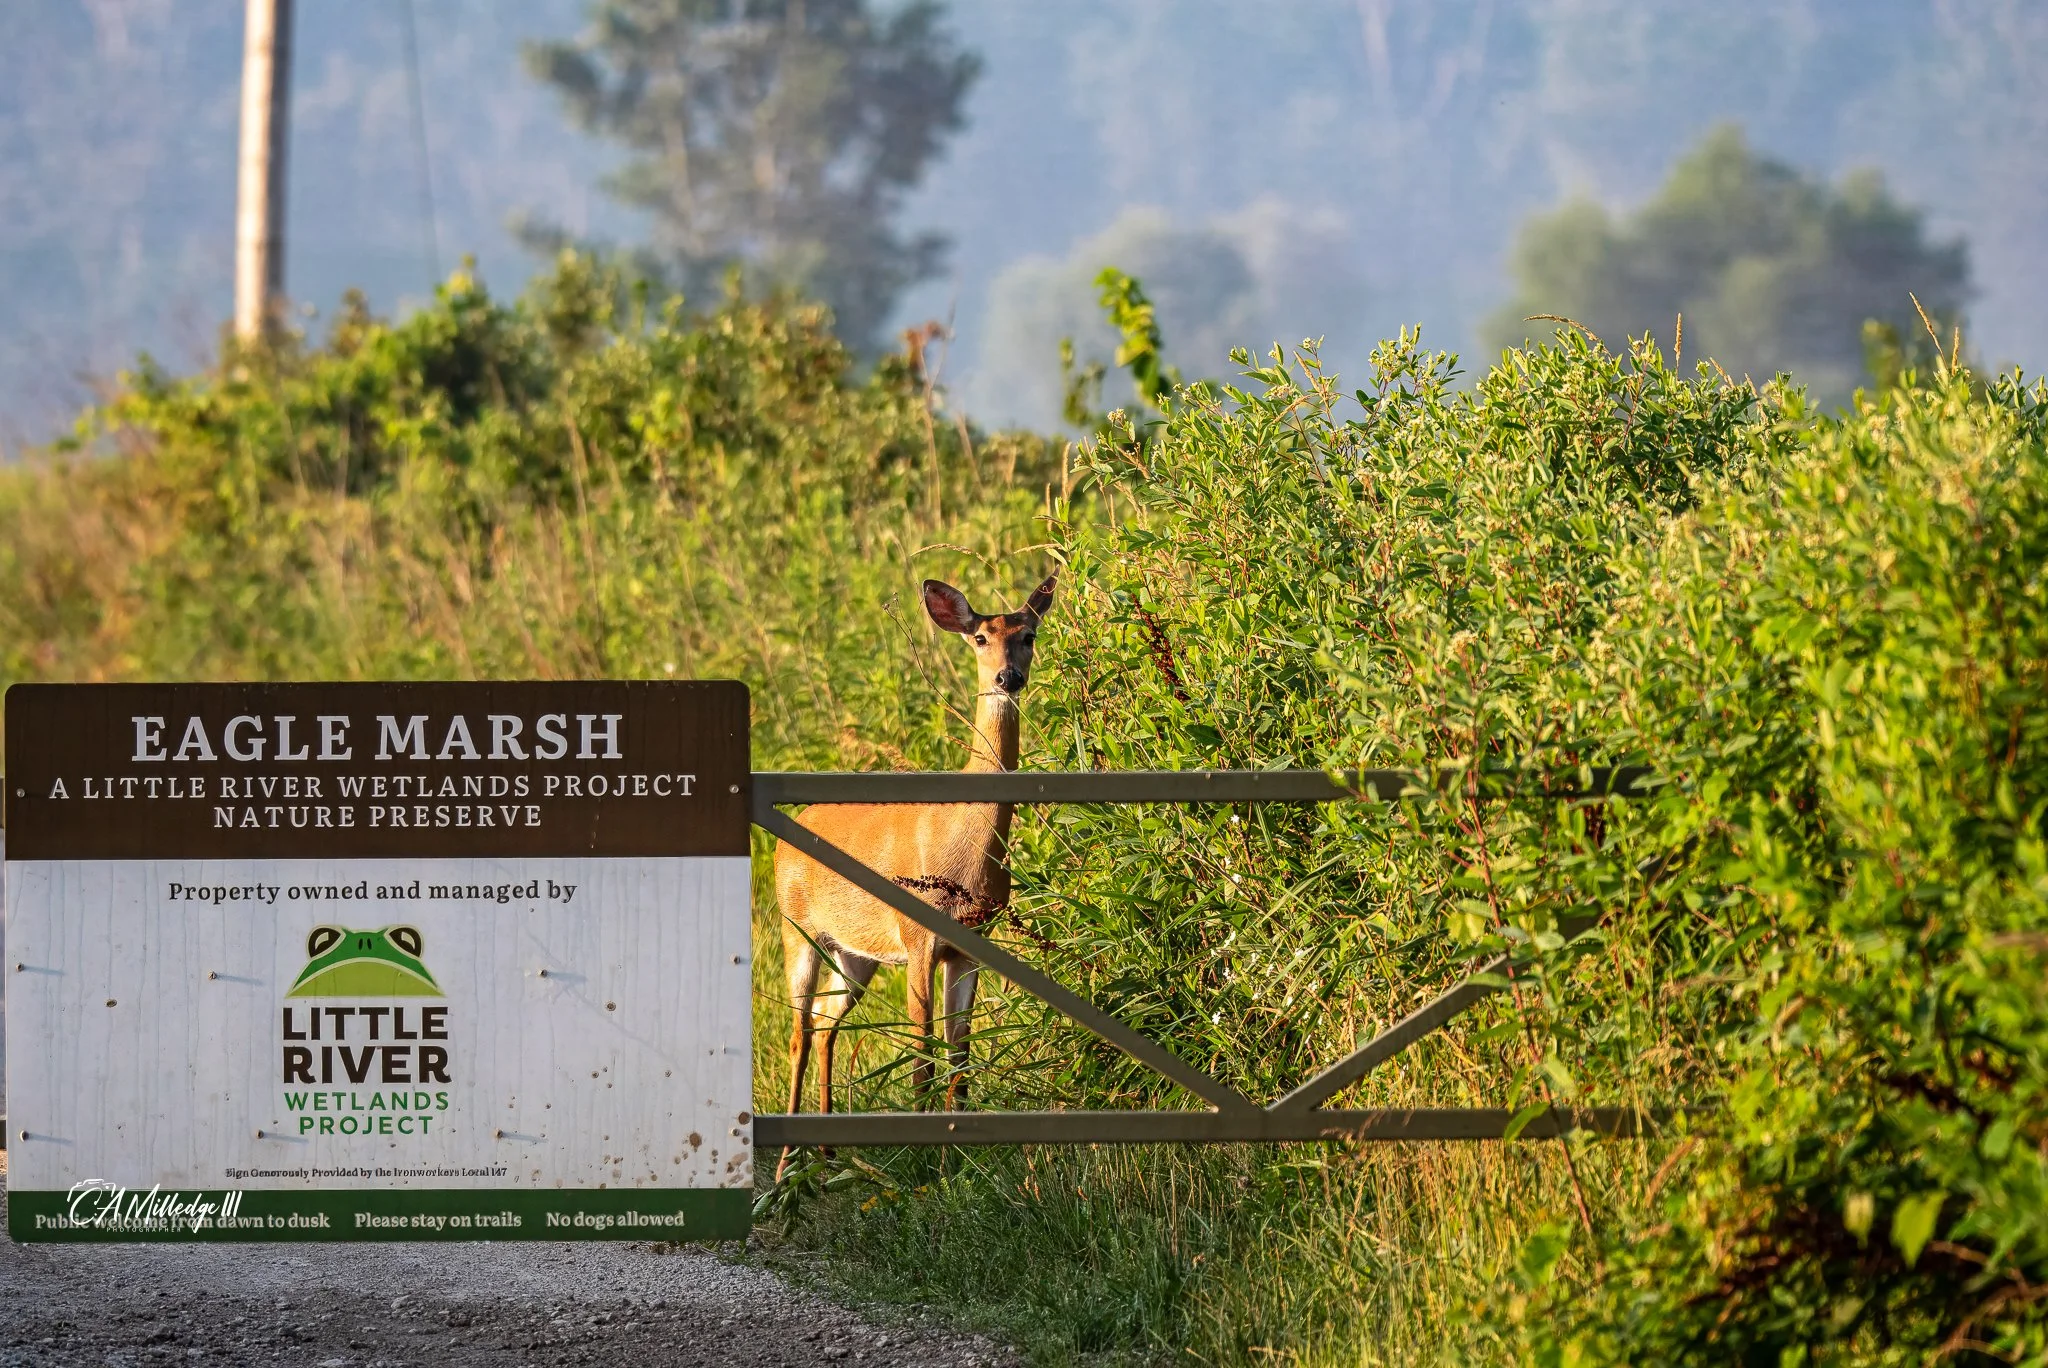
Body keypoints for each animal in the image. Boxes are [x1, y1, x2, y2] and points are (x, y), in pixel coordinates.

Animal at [773, 572, 1056, 1175]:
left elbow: (959, 1052)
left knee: (828, 1022)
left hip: (855, 952)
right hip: (795, 928)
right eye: (981, 637)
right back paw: (786, 1165)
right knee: (799, 1030)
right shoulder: (919, 935)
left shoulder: (971, 943)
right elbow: (923, 1050)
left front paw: (955, 1160)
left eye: (1029, 635)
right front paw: (926, 1161)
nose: (1008, 677)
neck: (961, 843)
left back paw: (829, 1153)